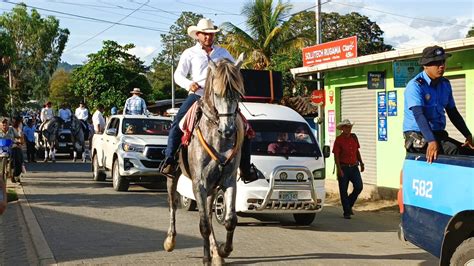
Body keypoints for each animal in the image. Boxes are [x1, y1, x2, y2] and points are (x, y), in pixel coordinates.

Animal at [163, 53, 244, 264]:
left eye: (238, 94)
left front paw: (223, 250)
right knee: (173, 204)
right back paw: (170, 240)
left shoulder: (229, 180)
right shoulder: (198, 183)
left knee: (208, 212)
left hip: (212, 187)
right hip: (173, 177)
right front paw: (207, 258)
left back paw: (216, 253)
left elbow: (230, 220)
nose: (228, 130)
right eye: (216, 93)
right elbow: (204, 225)